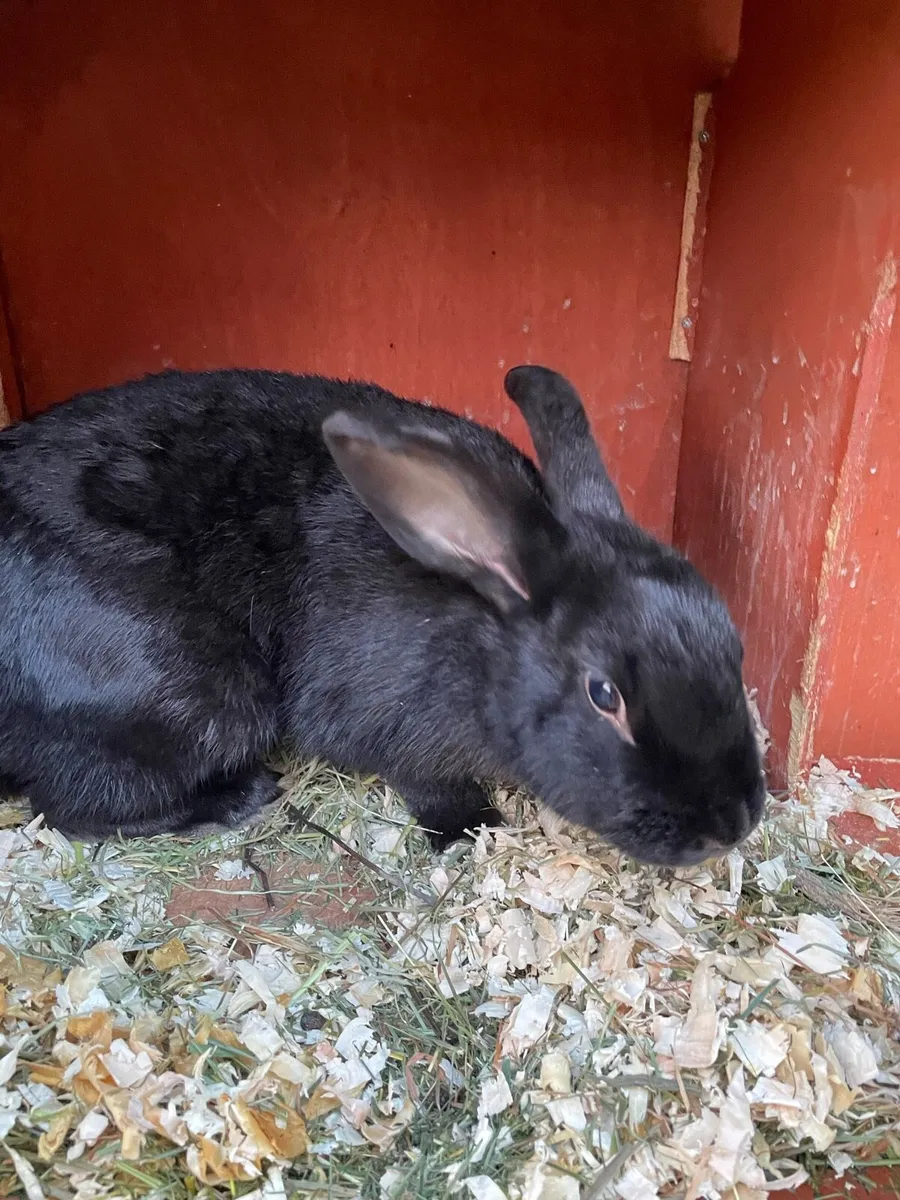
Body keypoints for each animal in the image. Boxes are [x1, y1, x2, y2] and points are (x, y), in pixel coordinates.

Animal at [0, 363, 765, 866]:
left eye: (735, 644)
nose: (732, 825)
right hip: (200, 695)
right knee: (70, 807)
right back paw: (239, 797)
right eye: (604, 695)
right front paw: (470, 830)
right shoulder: (384, 720)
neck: (480, 636)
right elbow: (423, 779)